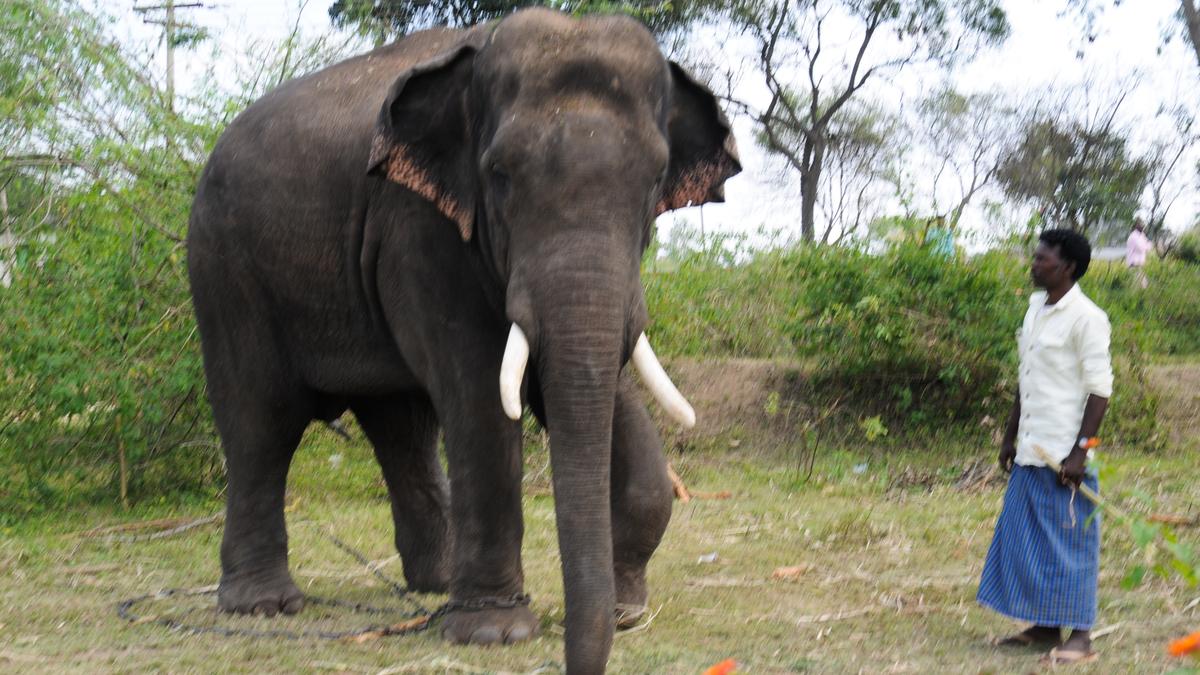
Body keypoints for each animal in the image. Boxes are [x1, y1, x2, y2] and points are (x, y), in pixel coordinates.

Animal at [186, 7, 739, 673]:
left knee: (400, 425)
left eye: (656, 178)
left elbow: (593, 385)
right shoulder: (418, 224)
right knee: (261, 420)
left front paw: (627, 609)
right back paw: (264, 605)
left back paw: (436, 585)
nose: (583, 648)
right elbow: (480, 391)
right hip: (223, 266)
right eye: (499, 175)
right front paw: (495, 633)